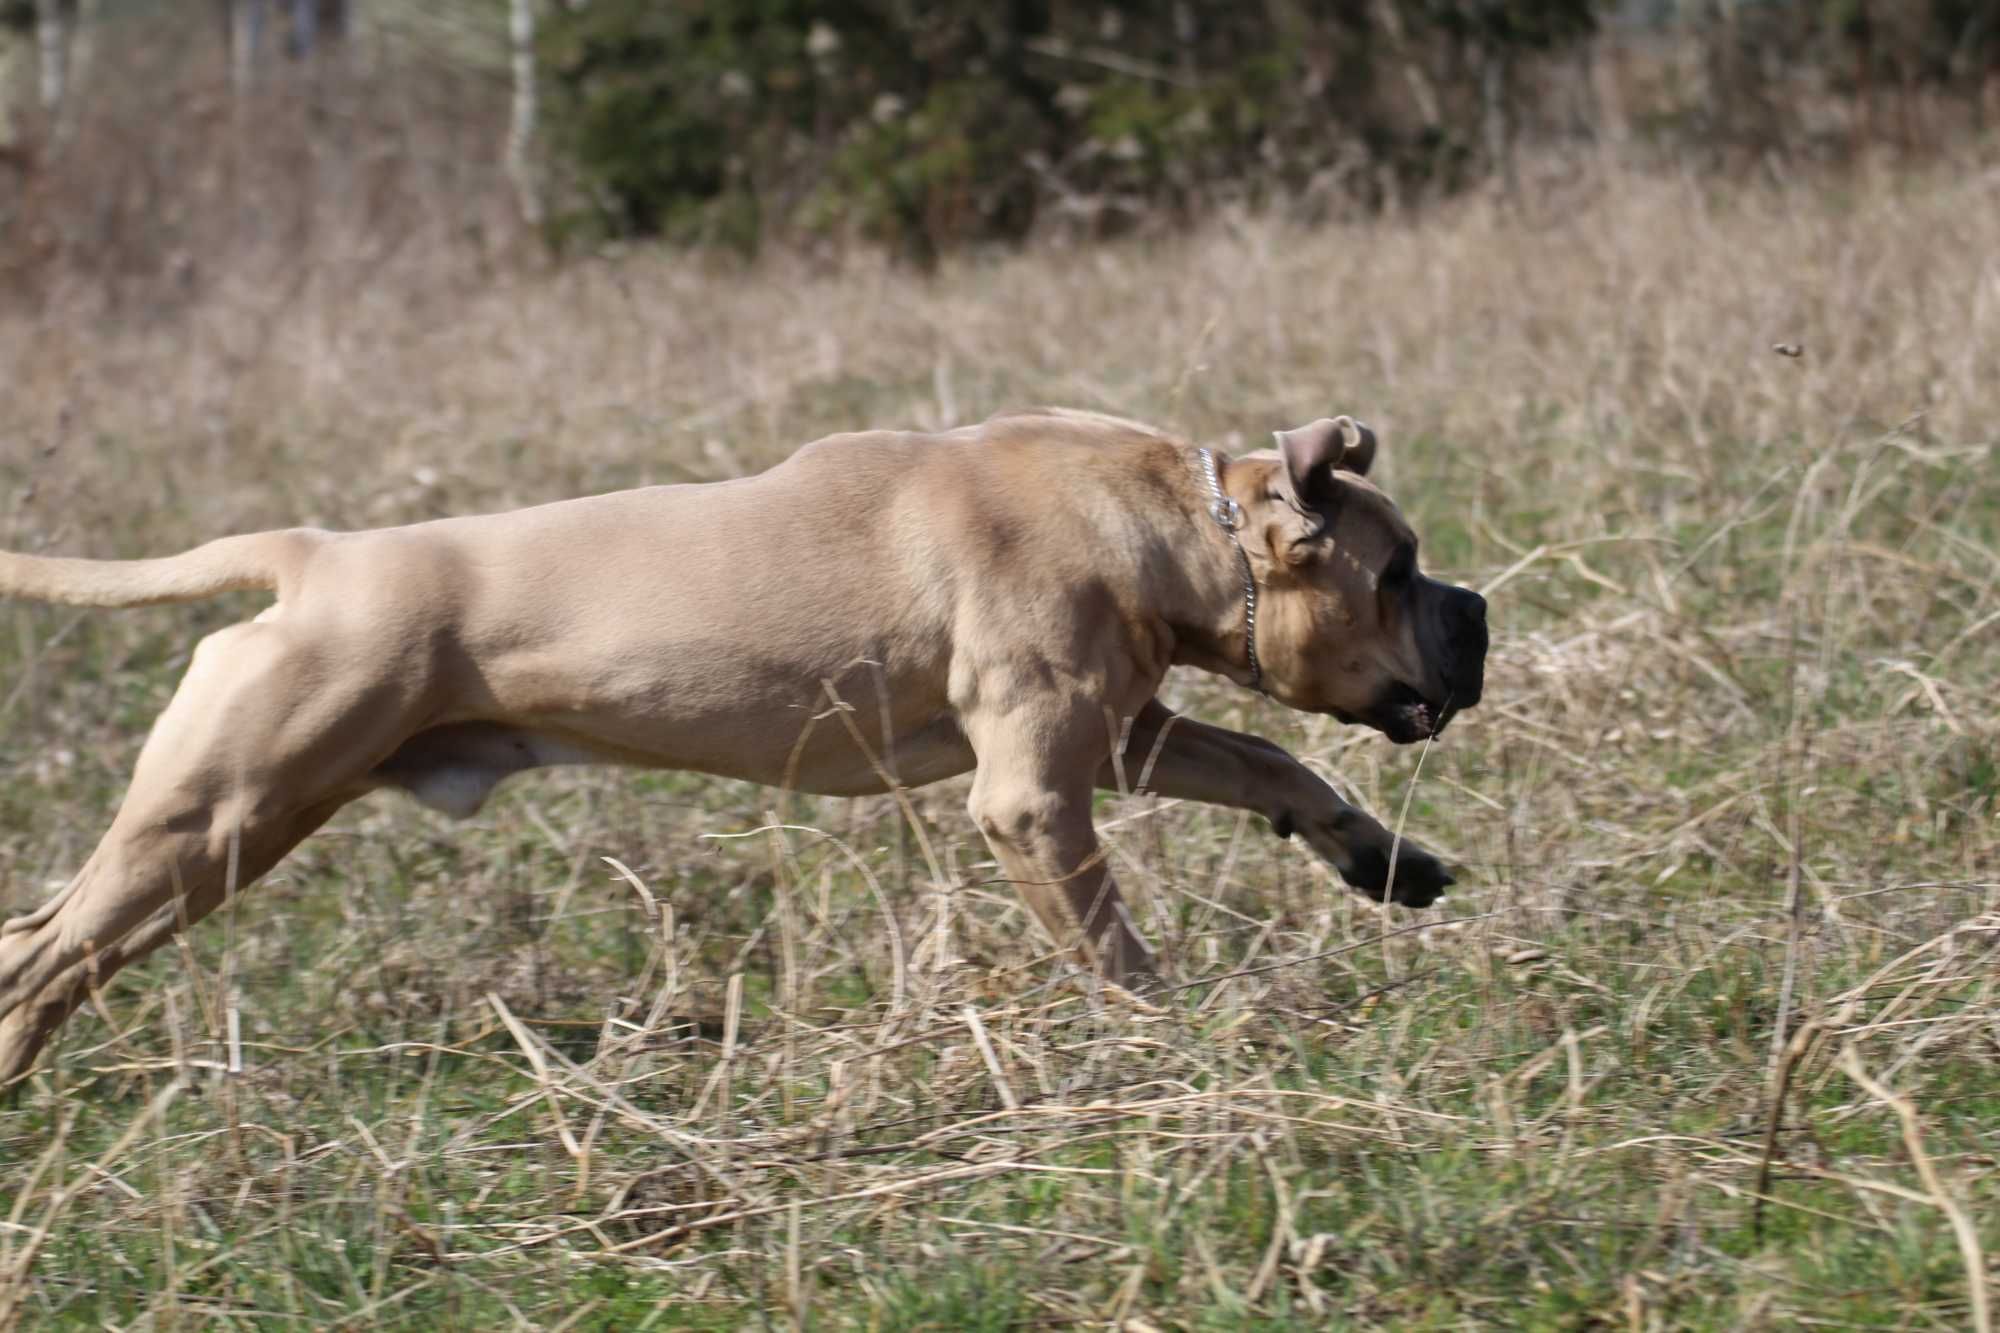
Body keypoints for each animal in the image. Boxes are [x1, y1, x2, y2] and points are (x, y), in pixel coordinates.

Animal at [0, 408, 1488, 1080]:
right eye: (1399, 570)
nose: (1478, 612)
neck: (1189, 528)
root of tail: (313, 555)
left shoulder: (1125, 734)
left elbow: (1275, 765)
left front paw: (1381, 859)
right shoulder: (1033, 793)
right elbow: (1114, 941)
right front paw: (1164, 1033)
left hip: (237, 820)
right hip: (217, 816)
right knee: (41, 949)